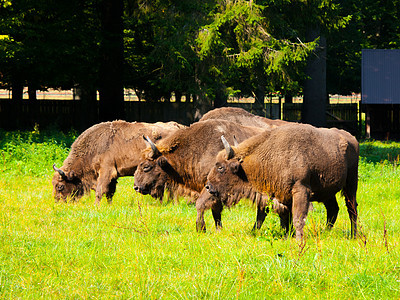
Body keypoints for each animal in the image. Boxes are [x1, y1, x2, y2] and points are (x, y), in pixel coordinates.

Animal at [52, 119, 185, 204]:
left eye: (60, 186)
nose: (57, 202)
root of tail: (178, 127)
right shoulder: (112, 176)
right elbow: (109, 192)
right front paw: (109, 205)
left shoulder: (106, 171)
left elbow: (100, 190)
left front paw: (96, 206)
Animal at [134, 119, 266, 227]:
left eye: (146, 166)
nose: (136, 187)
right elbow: (215, 212)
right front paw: (218, 230)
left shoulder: (211, 187)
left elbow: (201, 204)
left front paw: (200, 227)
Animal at [203, 123, 360, 239]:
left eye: (220, 167)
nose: (208, 186)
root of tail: (351, 138)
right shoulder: (275, 195)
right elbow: (272, 216)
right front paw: (286, 236)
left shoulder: (301, 190)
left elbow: (297, 217)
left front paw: (298, 239)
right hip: (328, 192)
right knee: (333, 209)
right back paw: (325, 233)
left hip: (351, 184)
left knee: (351, 208)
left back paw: (354, 235)